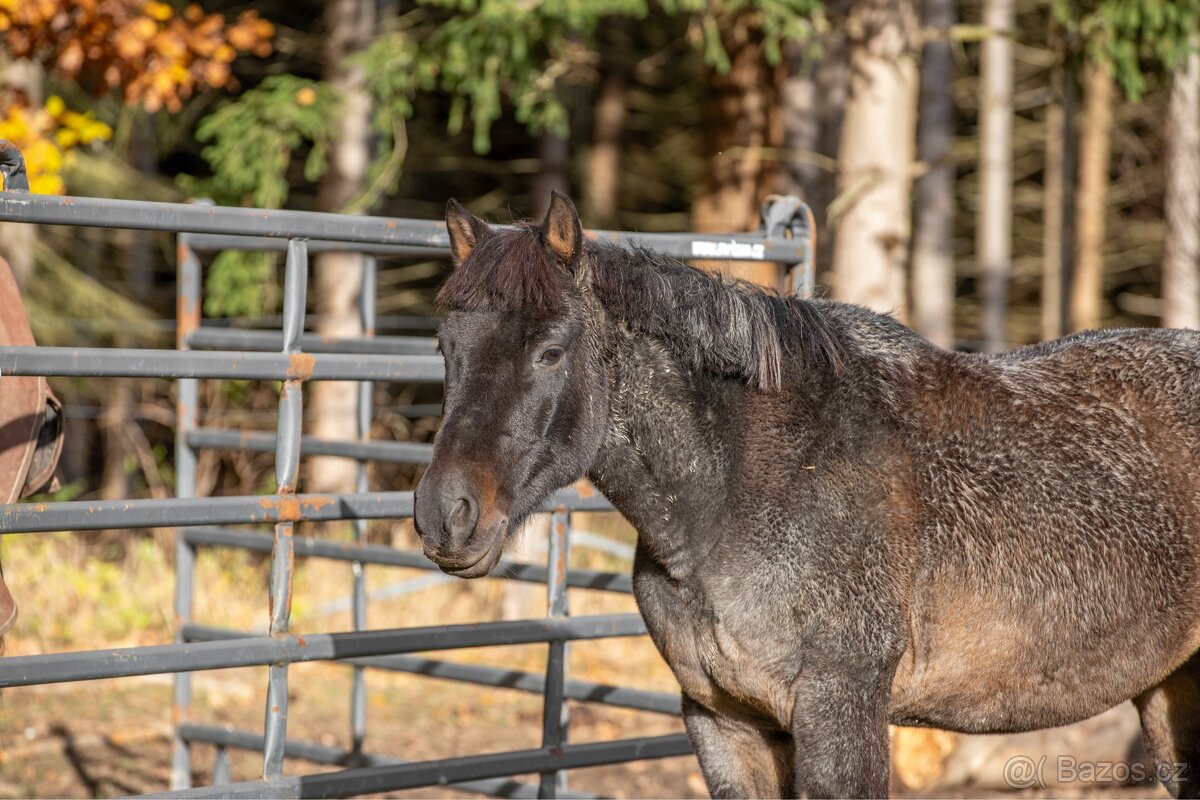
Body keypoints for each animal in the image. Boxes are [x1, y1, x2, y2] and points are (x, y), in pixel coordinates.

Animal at [412, 192, 1200, 799]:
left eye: (551, 350)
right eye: (445, 348)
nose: (446, 514)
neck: (740, 491)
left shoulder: (840, 714)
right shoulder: (724, 724)